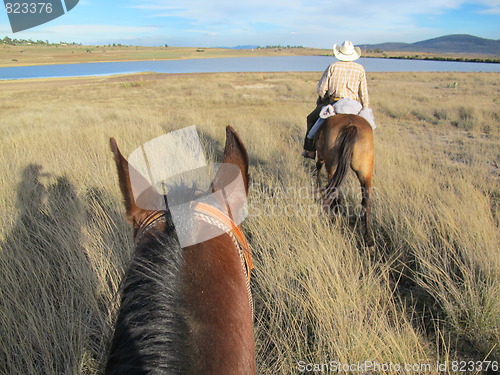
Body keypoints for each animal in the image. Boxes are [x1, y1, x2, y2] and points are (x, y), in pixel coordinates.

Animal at [314, 114, 374, 247]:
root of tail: (352, 126)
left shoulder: (319, 155)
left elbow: (318, 168)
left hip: (332, 167)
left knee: (334, 194)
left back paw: (333, 218)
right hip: (365, 172)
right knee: (366, 200)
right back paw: (368, 238)